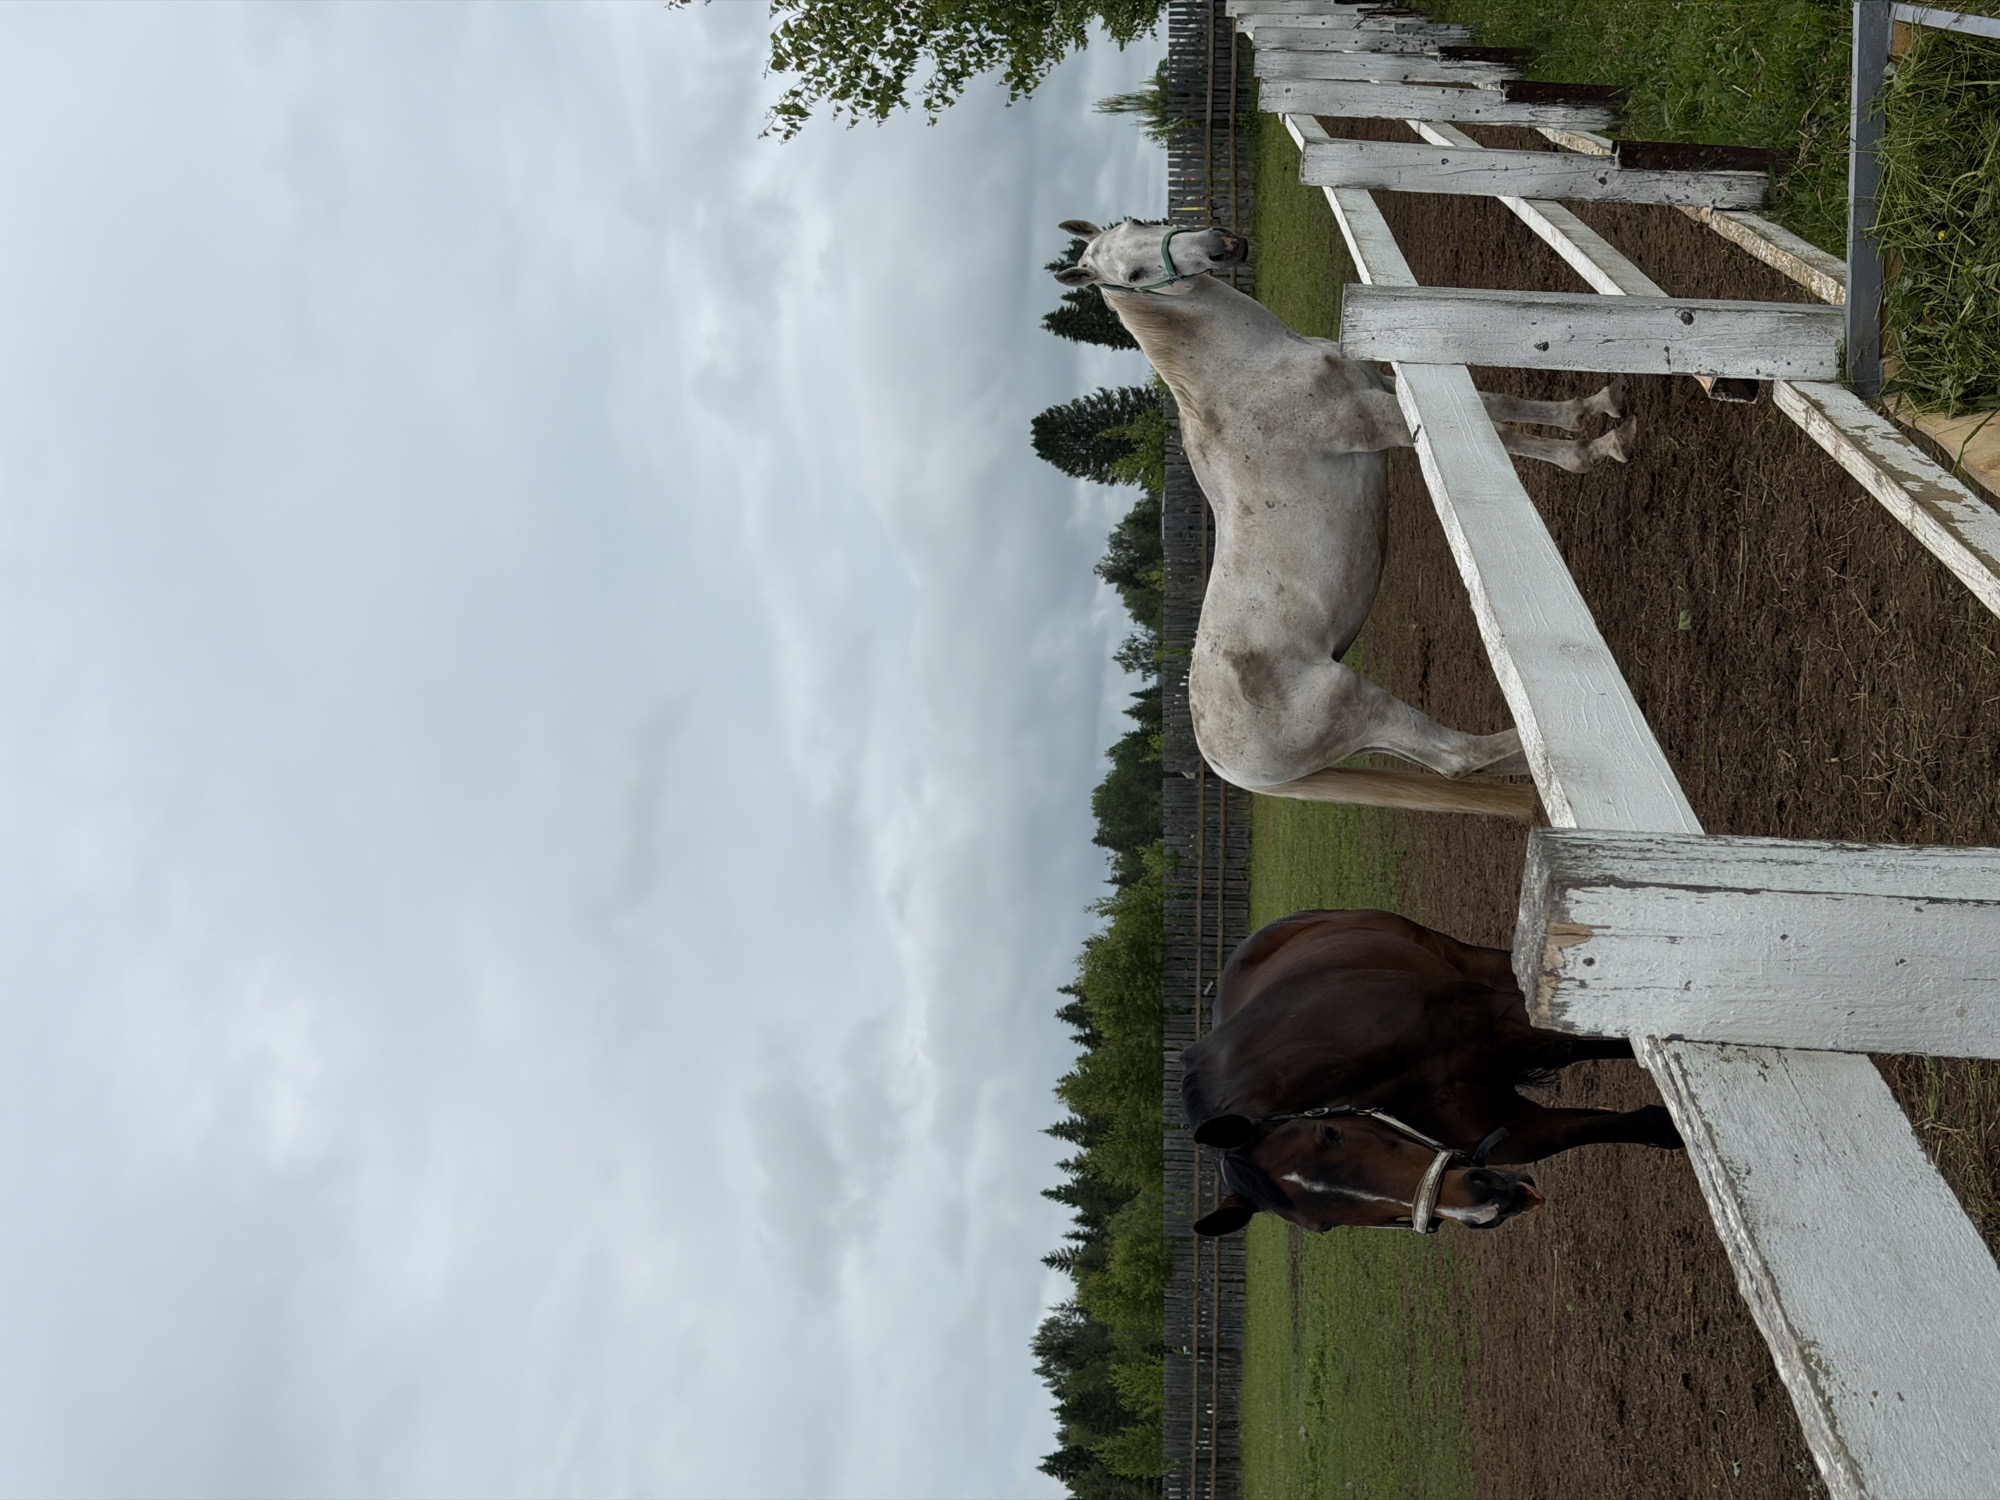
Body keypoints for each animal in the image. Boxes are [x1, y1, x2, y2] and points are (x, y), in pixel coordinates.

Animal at [1053, 218, 1637, 820]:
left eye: (1141, 224)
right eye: (1132, 274)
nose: (1220, 246)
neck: (1248, 374)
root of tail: (1221, 763)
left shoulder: (1383, 386)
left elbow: (1500, 405)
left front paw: (1598, 404)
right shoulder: (1382, 420)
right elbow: (1505, 434)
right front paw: (1599, 446)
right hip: (1358, 704)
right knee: (1459, 757)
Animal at [1179, 908, 1681, 1235]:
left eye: (1330, 1134)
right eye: (1325, 1226)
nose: (1490, 1205)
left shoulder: (1506, 1017)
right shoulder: (1515, 1128)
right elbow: (1632, 1126)